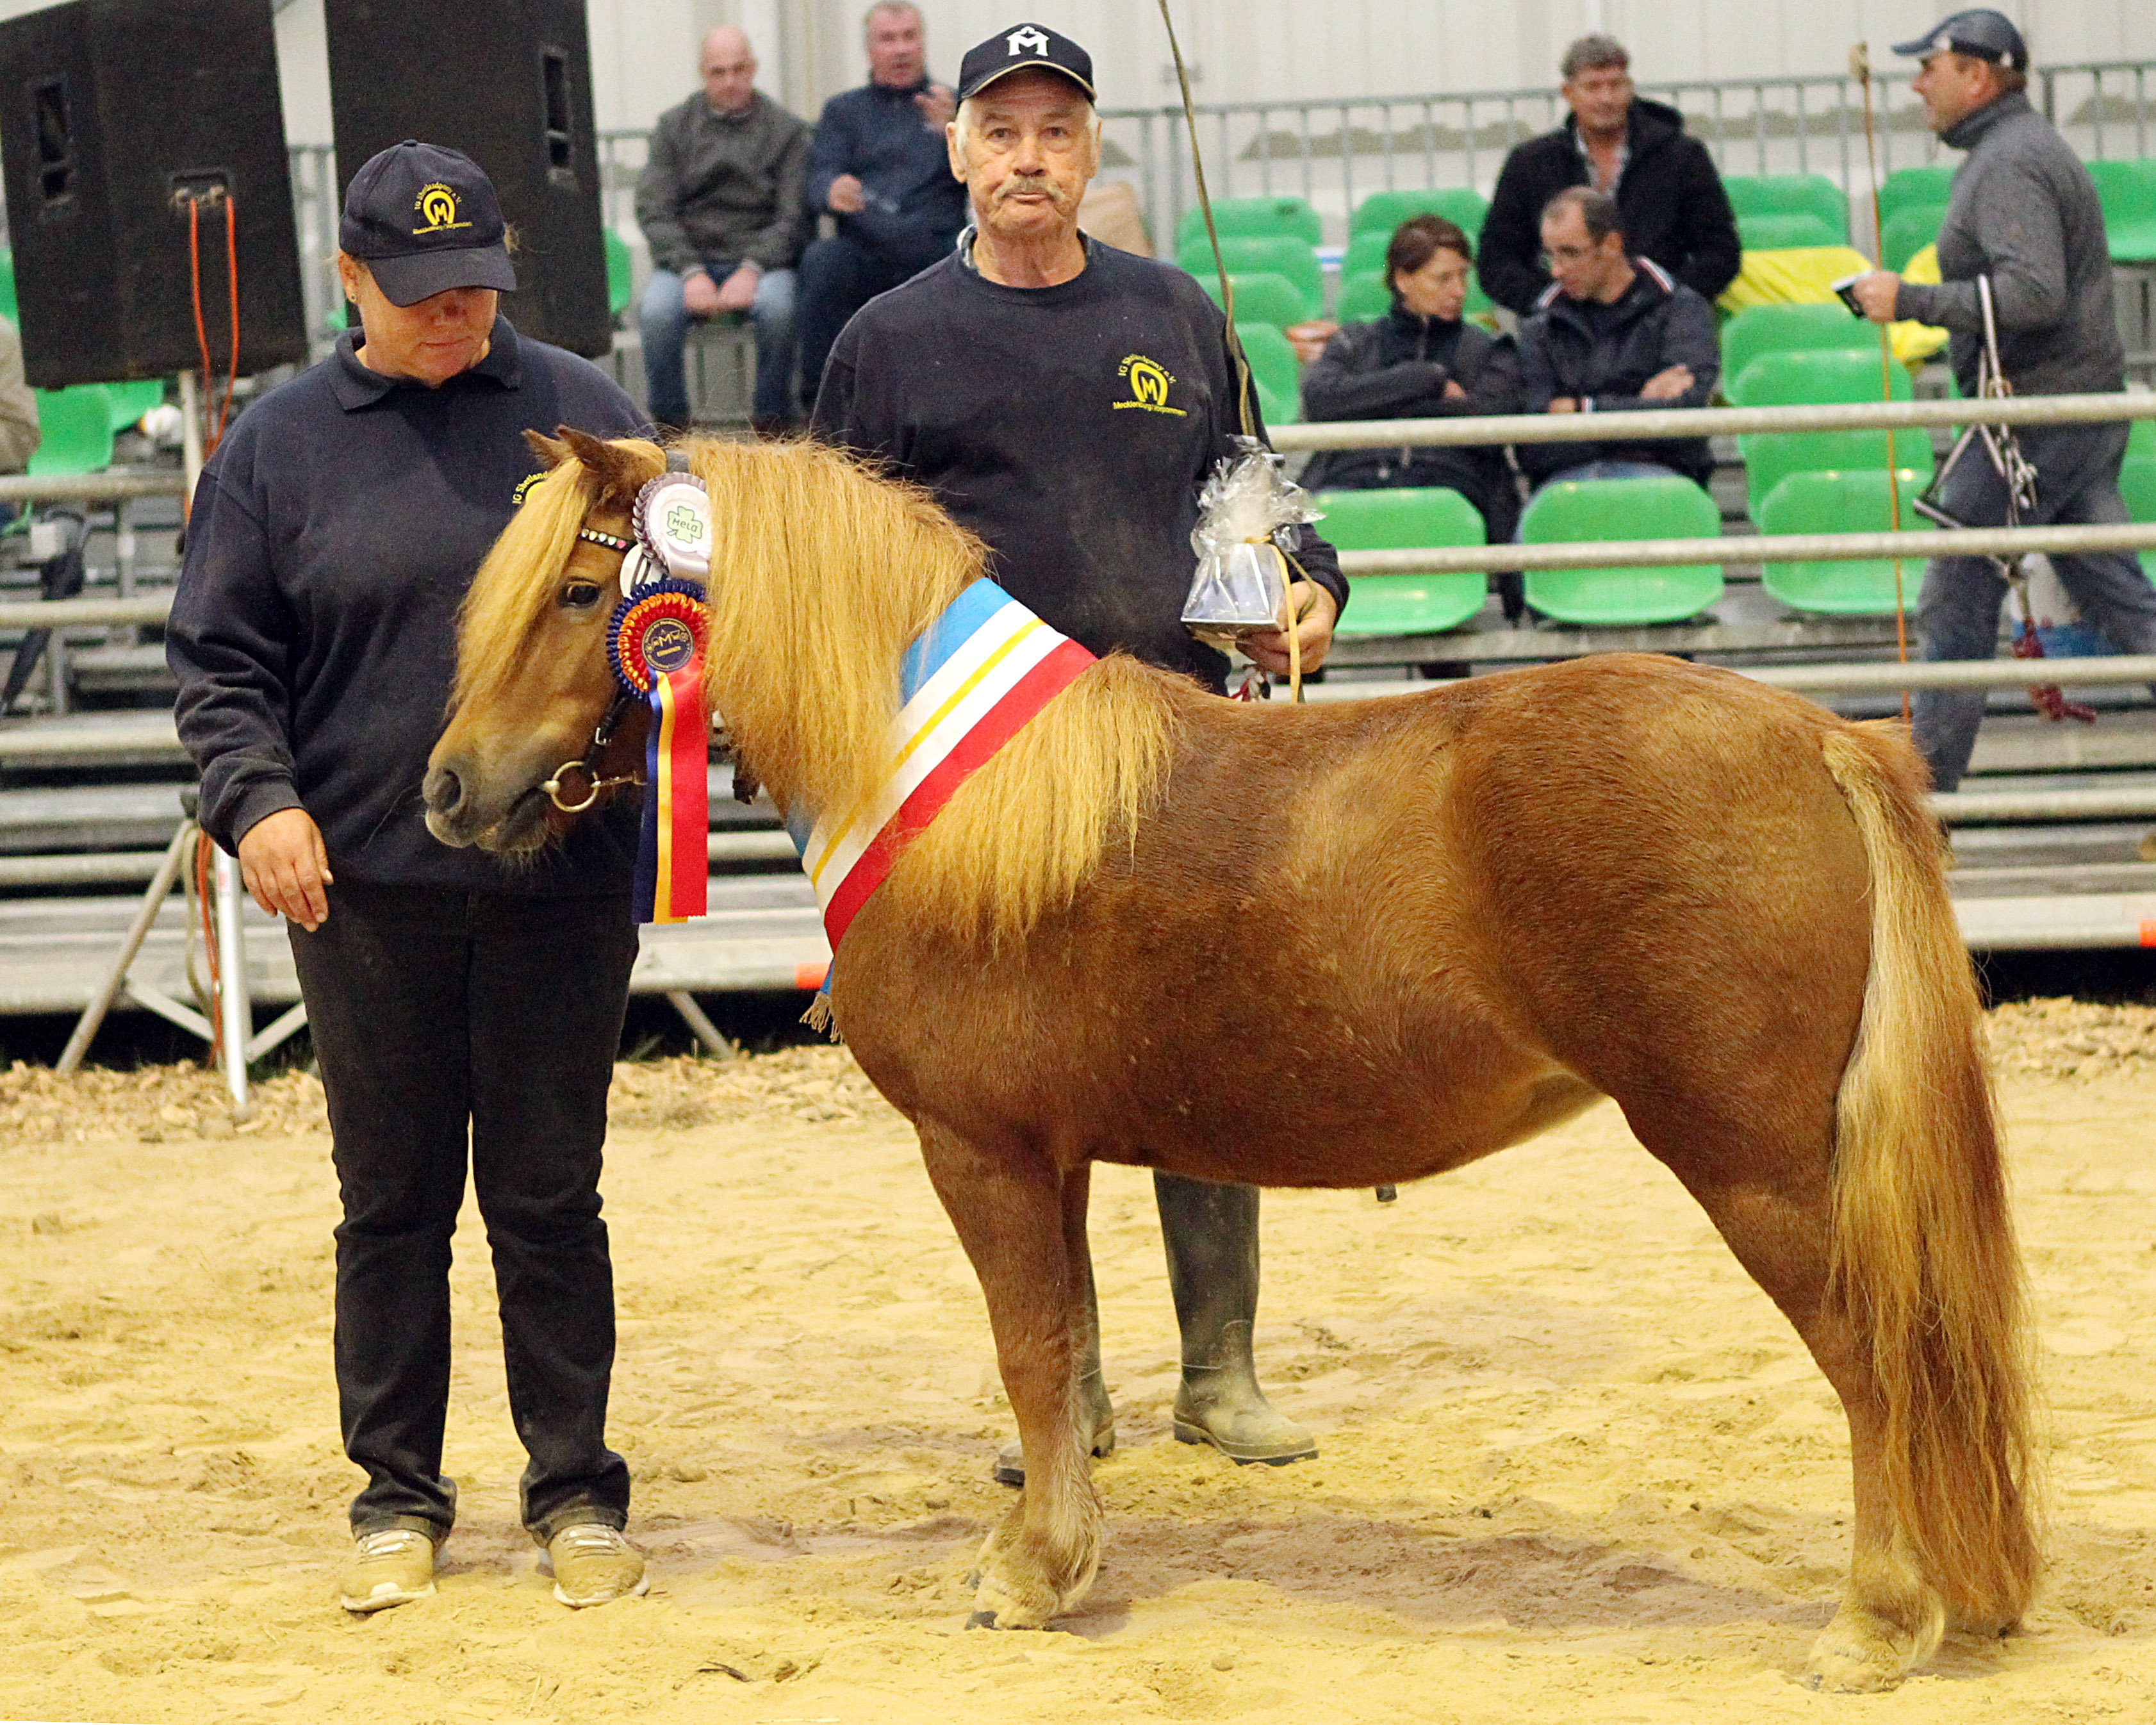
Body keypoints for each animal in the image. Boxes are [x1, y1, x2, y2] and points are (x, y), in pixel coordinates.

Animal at [424, 427, 2035, 1681]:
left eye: (582, 591)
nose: (446, 791)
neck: (957, 791)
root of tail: (1822, 740)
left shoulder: (977, 1150)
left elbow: (1027, 1347)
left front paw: (1026, 1574)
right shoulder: (1056, 1155)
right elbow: (1064, 1352)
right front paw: (1058, 1546)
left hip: (1751, 1163)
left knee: (1877, 1357)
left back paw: (1874, 1621)